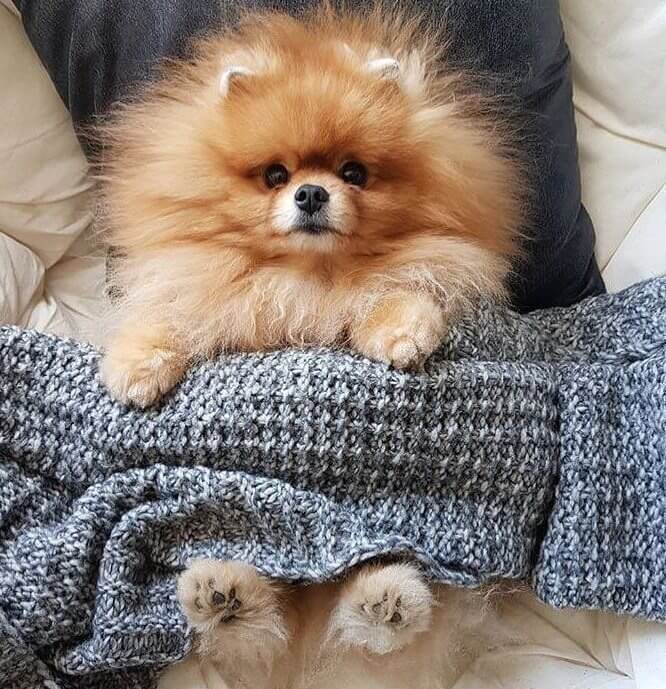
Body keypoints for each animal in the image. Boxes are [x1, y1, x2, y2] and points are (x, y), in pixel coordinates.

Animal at [96, 4, 520, 408]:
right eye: (275, 175)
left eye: (353, 172)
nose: (312, 193)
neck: (308, 276)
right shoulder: (193, 283)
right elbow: (166, 315)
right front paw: (137, 367)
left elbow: (391, 292)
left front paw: (402, 336)